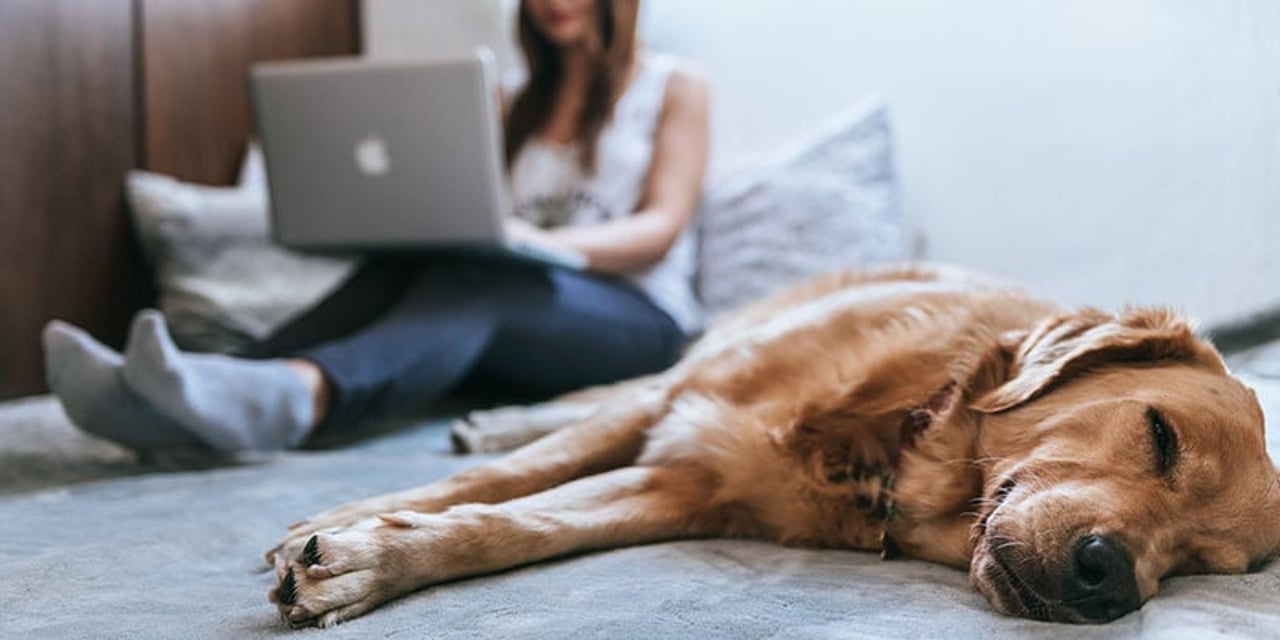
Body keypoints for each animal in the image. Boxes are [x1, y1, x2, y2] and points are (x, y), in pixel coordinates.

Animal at [262, 262, 1280, 627]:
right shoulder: (682, 406)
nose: (1109, 579)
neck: (892, 436)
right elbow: (518, 475)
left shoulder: (681, 487)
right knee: (591, 401)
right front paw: (350, 522)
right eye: (1158, 434)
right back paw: (493, 417)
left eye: (1202, 564)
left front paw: (367, 560)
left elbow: (519, 525)